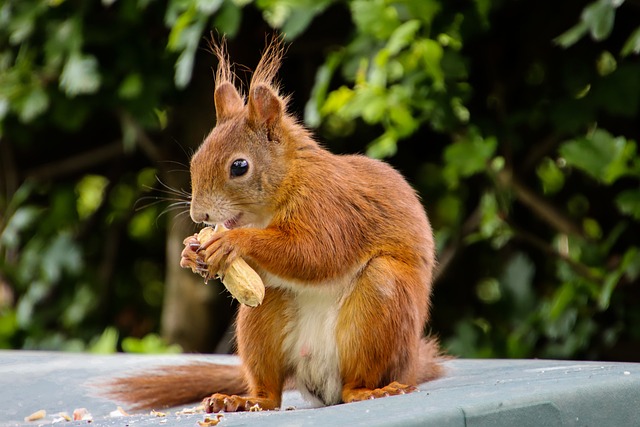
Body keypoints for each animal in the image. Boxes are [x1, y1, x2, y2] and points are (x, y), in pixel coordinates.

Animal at [105, 37, 443, 413]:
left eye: (239, 166)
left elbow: (317, 254)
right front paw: (190, 252)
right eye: (195, 160)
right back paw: (241, 399)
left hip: (381, 305)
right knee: (270, 391)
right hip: (262, 313)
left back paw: (368, 391)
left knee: (358, 377)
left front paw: (234, 242)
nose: (199, 216)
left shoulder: (331, 207)